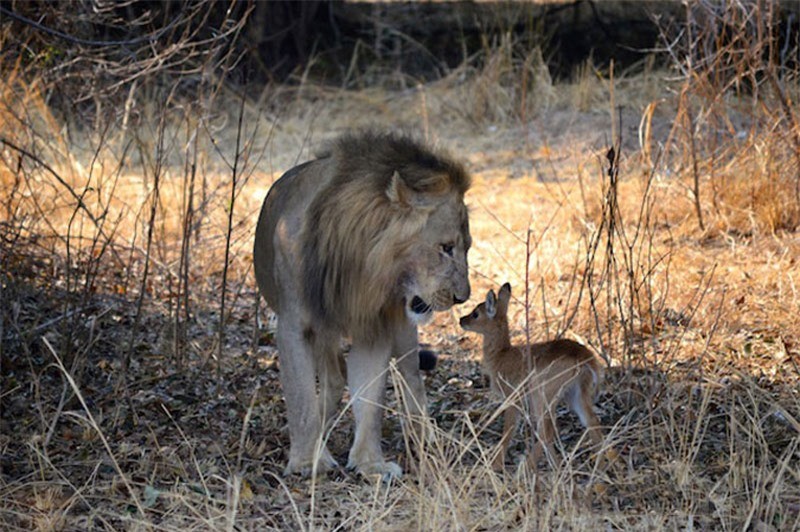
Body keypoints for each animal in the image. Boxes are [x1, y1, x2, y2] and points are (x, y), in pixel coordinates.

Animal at [253, 130, 472, 478]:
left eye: (469, 247)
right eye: (446, 247)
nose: (462, 297)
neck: (358, 265)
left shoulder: (375, 325)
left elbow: (370, 398)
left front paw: (371, 464)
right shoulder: (293, 325)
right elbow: (301, 394)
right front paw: (307, 461)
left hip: (402, 330)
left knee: (410, 376)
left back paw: (426, 439)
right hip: (323, 332)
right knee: (331, 379)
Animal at [460, 282, 604, 470]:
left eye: (476, 313)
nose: (461, 320)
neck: (501, 355)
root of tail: (584, 357)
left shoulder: (513, 399)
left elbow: (508, 430)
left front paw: (496, 465)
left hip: (542, 395)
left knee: (547, 431)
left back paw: (526, 469)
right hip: (575, 394)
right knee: (591, 422)